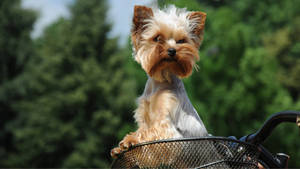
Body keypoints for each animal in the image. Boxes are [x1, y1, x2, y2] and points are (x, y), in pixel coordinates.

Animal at [110, 4, 209, 160]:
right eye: (157, 38)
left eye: (181, 41)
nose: (172, 50)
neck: (161, 79)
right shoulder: (145, 118)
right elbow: (143, 129)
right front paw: (121, 146)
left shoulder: (168, 129)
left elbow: (151, 133)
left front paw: (130, 140)